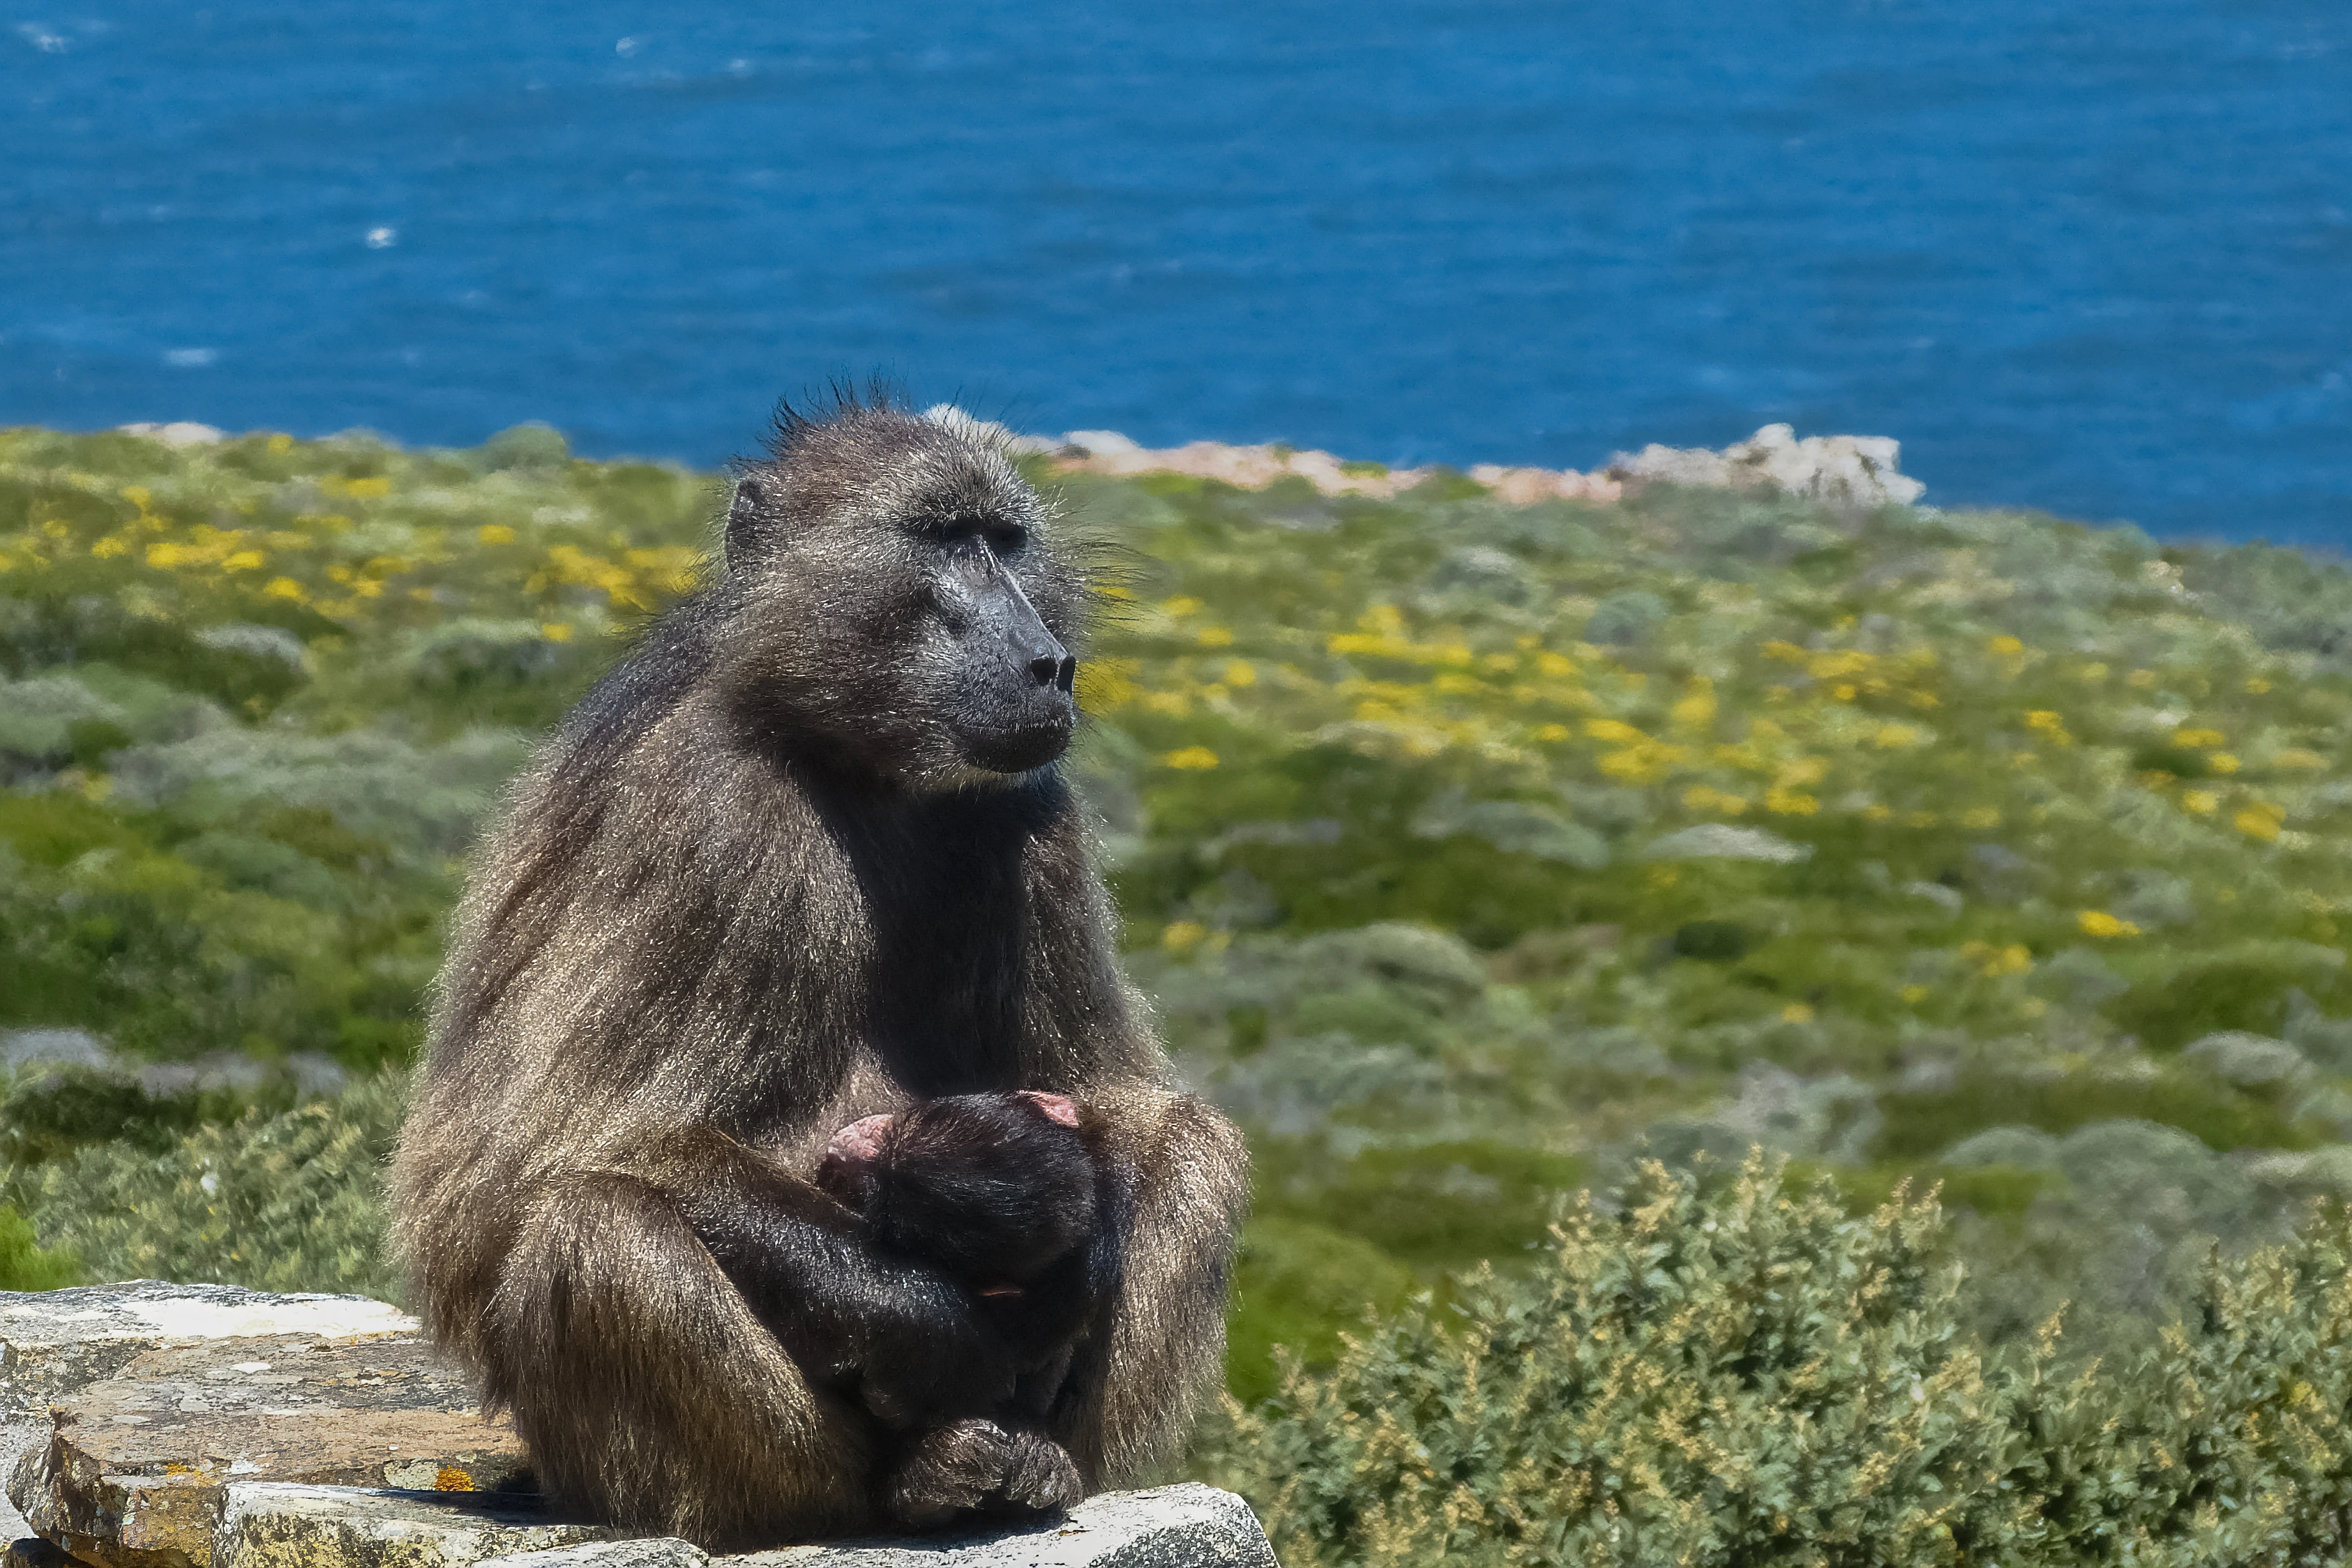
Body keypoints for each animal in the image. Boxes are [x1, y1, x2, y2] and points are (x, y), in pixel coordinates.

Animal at [387, 390, 1248, 1550]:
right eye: (942, 538)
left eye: (1007, 539)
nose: (1049, 663)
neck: (846, 749)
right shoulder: (714, 811)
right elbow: (552, 1157)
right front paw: (963, 1336)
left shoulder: (1035, 817)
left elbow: (1113, 1096)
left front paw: (1078, 1267)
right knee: (598, 1224)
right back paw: (907, 1481)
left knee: (1198, 1144)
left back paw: (1037, 1462)